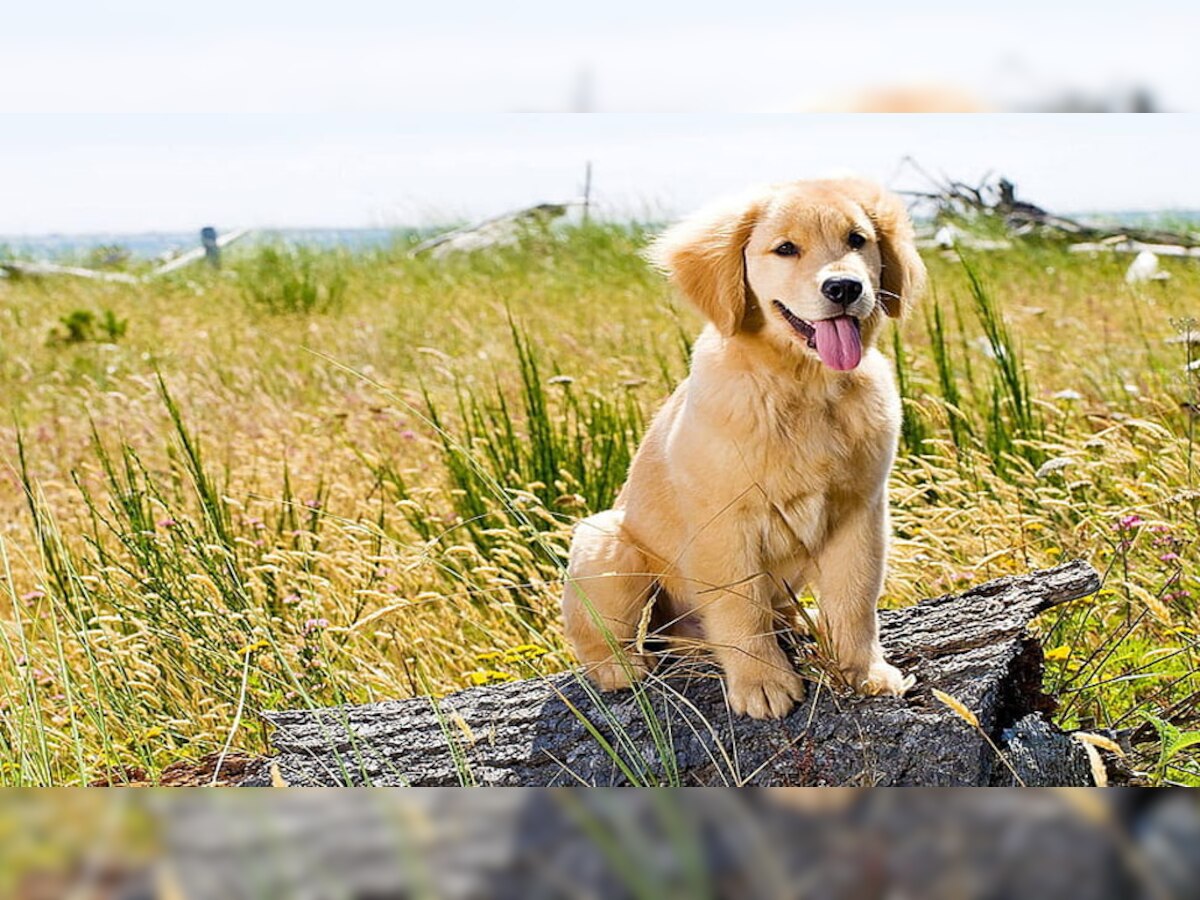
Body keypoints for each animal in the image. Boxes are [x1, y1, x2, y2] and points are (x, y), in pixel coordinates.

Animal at [561, 180, 926, 724]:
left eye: (857, 240)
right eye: (786, 249)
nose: (844, 288)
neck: (803, 386)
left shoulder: (861, 511)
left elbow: (854, 598)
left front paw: (863, 671)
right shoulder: (725, 523)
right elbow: (739, 606)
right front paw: (762, 683)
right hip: (607, 543)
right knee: (606, 633)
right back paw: (619, 667)